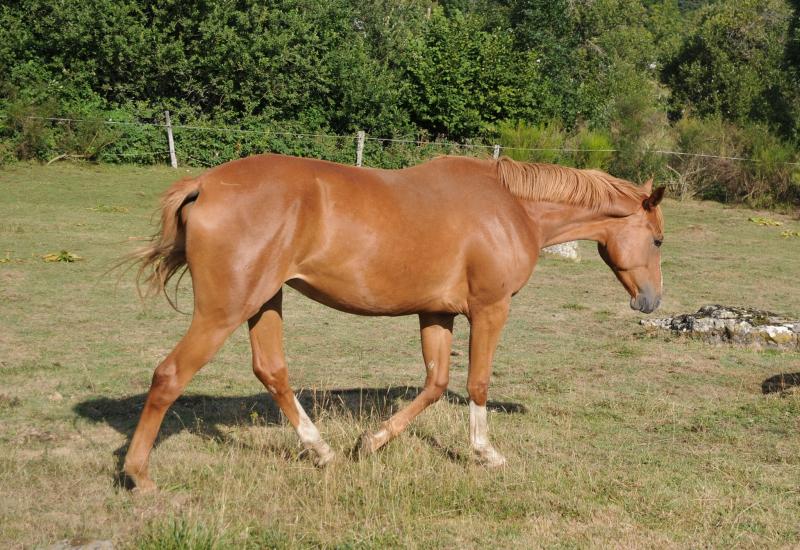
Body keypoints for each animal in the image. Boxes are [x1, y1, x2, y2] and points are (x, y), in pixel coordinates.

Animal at [123, 153, 665, 492]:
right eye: (658, 239)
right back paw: (139, 476)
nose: (652, 301)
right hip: (223, 312)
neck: (510, 208)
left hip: (264, 302)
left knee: (272, 372)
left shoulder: (437, 312)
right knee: (170, 375)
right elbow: (477, 382)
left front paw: (370, 442)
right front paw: (485, 452)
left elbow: (435, 383)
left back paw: (322, 451)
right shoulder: (490, 309)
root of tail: (205, 185)